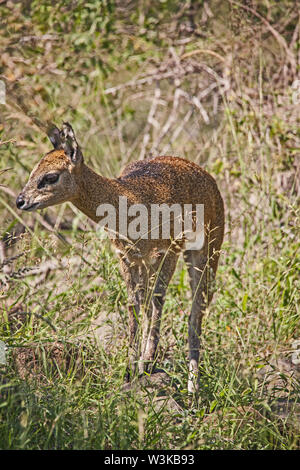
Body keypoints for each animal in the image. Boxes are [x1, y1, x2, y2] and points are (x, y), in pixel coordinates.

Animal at [15, 122, 224, 392]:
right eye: (33, 171)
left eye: (50, 176)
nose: (20, 201)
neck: (130, 200)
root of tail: (205, 174)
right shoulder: (127, 258)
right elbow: (134, 305)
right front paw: (131, 368)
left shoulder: (167, 251)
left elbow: (157, 301)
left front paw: (146, 362)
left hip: (205, 251)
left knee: (196, 309)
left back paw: (192, 387)